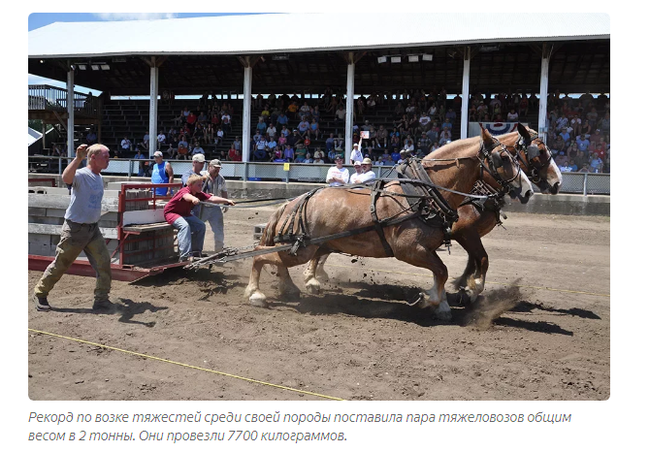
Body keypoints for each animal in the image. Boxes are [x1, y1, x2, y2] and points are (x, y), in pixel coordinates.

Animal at [243, 127, 532, 320]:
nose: (528, 190)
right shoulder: (409, 250)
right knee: (259, 255)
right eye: (503, 159)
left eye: (516, 156)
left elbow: (443, 271)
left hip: (305, 248)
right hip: (302, 249)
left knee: (276, 260)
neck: (423, 194)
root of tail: (292, 202)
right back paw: (256, 293)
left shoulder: (432, 247)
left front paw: (443, 303)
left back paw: (291, 288)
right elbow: (443, 270)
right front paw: (433, 299)